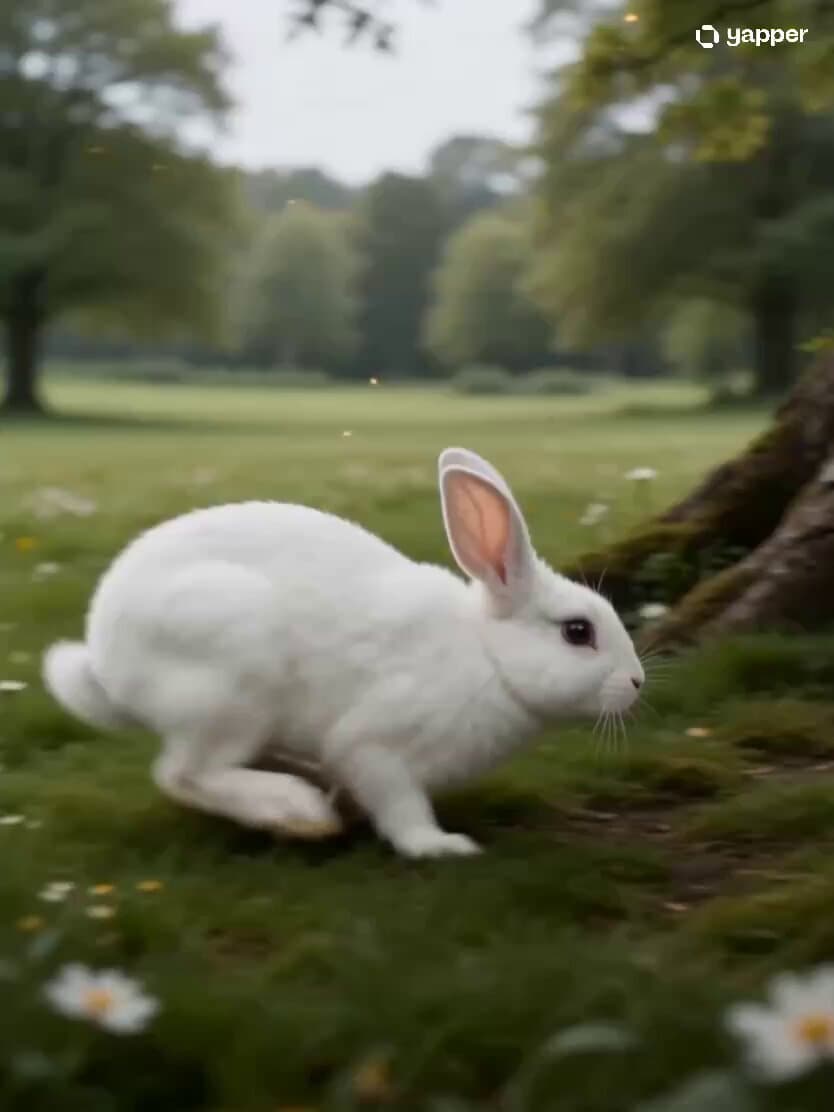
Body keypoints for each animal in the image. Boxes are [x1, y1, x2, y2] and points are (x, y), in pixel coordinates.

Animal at [43, 447, 644, 859]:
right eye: (577, 631)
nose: (638, 682)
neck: (488, 658)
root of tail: (106, 662)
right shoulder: (374, 744)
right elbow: (399, 805)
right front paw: (440, 845)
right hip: (231, 683)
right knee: (183, 774)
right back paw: (296, 810)